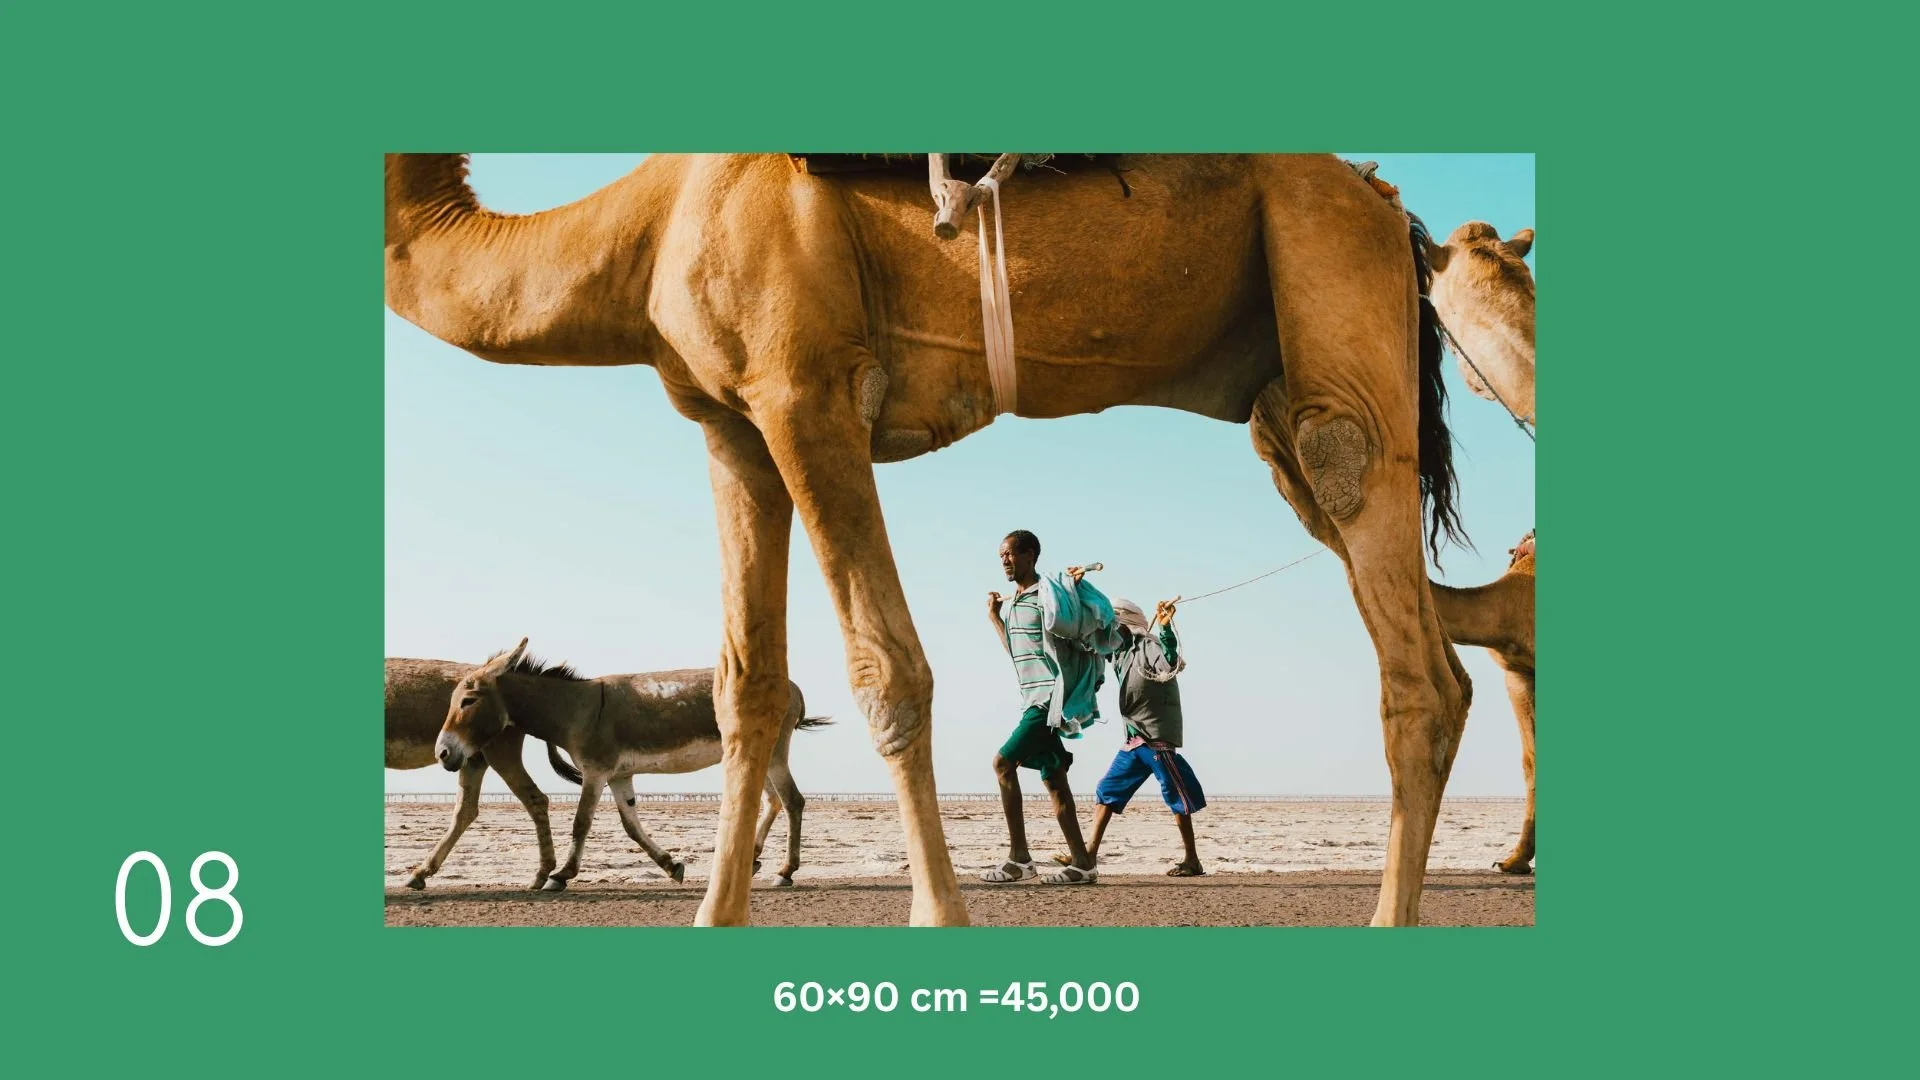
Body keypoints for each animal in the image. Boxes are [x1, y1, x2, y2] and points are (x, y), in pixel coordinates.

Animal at [386, 657, 580, 889]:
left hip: (498, 752)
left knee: (535, 799)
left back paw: (543, 873)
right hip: (473, 759)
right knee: (466, 811)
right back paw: (421, 873)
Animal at [433, 639, 830, 889]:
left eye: (468, 700)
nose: (443, 753)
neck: (577, 709)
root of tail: (792, 686)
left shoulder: (596, 771)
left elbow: (581, 823)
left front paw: (560, 875)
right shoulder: (620, 775)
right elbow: (631, 827)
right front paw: (672, 865)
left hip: (773, 752)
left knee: (792, 801)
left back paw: (785, 871)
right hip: (757, 754)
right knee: (773, 800)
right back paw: (754, 860)